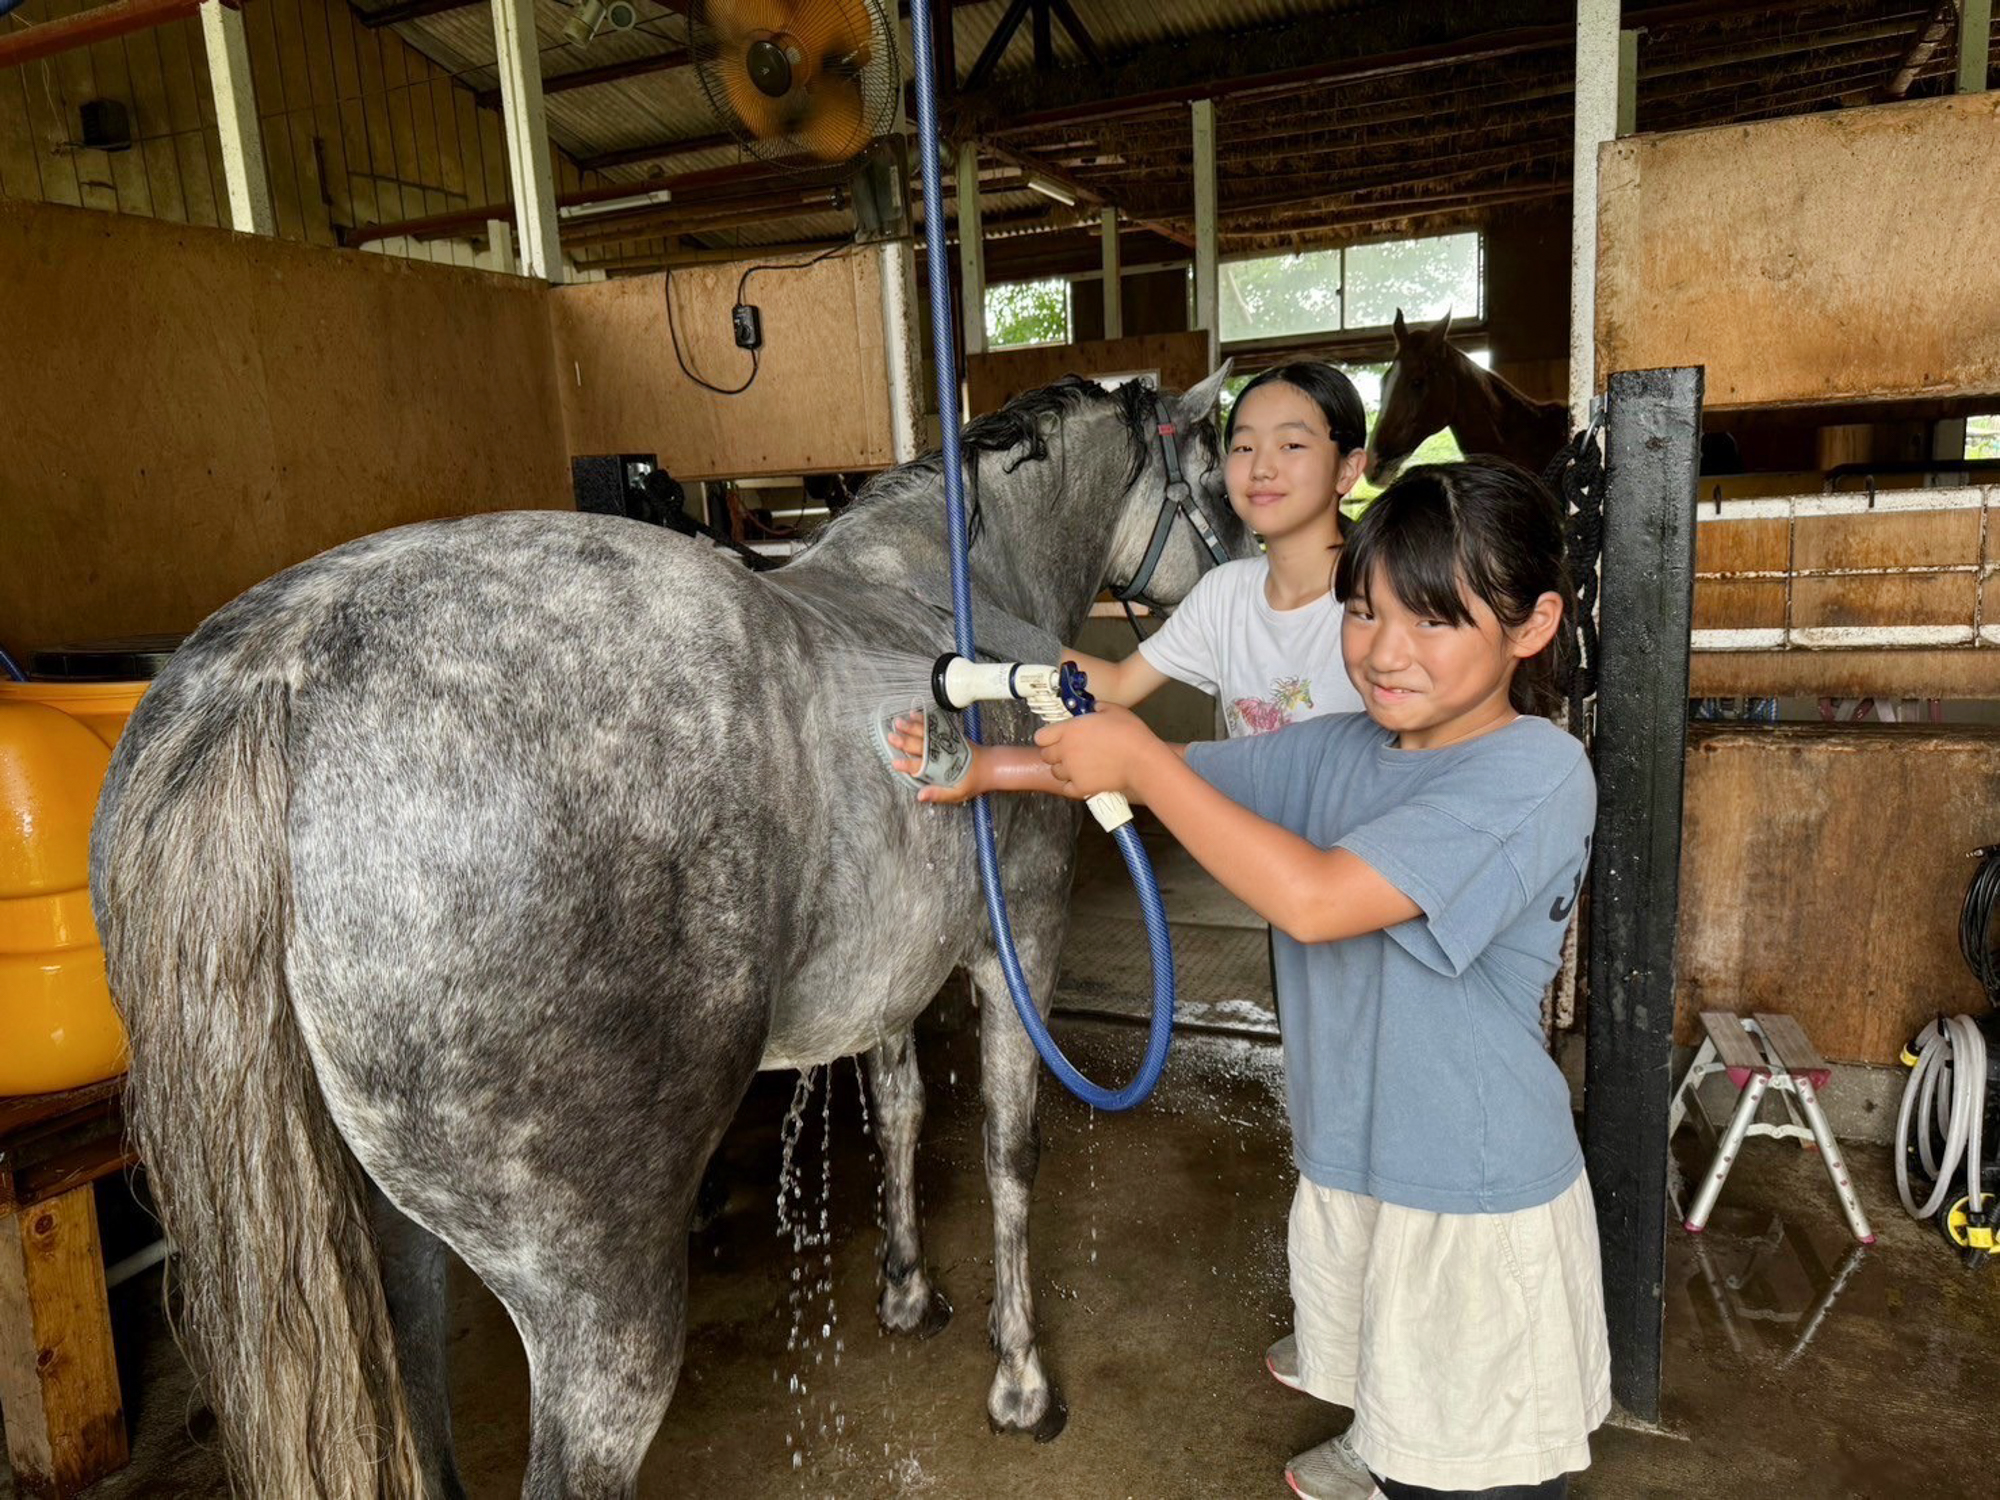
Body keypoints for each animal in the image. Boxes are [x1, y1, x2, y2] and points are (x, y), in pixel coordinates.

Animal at [97, 368, 1248, 1500]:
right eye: (1218, 474)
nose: (1259, 571)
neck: (954, 589)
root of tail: (280, 674)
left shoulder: (887, 980)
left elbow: (900, 1116)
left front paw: (907, 1293)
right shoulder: (1018, 949)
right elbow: (1012, 1151)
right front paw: (1020, 1383)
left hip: (395, 1264)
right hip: (602, 1311)